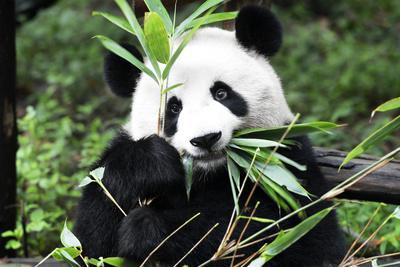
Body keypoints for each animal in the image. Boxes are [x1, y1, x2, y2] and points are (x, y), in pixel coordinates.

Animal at [74, 5, 346, 266]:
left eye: (222, 93)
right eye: (174, 108)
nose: (205, 138)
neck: (211, 173)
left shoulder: (288, 162)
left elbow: (295, 235)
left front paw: (149, 228)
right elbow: (90, 241)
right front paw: (151, 164)